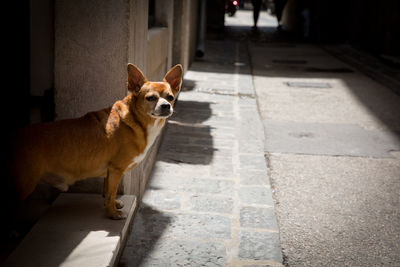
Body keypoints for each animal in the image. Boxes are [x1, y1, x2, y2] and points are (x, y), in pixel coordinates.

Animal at [7, 63, 183, 220]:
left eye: (170, 98)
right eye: (151, 98)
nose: (166, 106)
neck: (137, 120)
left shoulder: (110, 171)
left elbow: (107, 191)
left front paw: (112, 205)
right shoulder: (116, 169)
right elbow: (111, 192)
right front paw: (113, 214)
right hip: (23, 187)